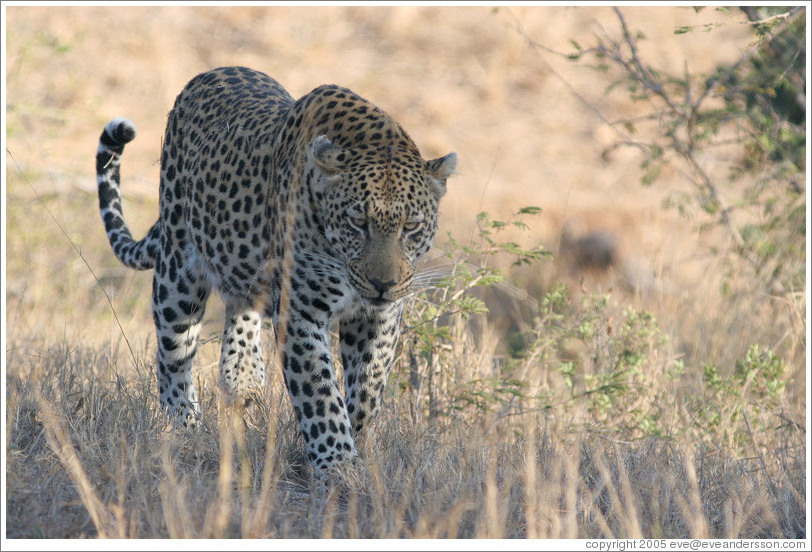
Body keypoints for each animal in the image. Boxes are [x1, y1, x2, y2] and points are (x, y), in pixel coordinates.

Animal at [96, 66, 456, 470]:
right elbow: (320, 395)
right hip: (177, 273)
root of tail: (210, 72)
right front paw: (338, 466)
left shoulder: (379, 315)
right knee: (173, 356)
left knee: (240, 314)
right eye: (358, 223)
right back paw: (186, 431)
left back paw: (243, 380)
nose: (383, 283)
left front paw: (357, 443)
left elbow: (368, 388)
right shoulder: (300, 312)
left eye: (411, 226)